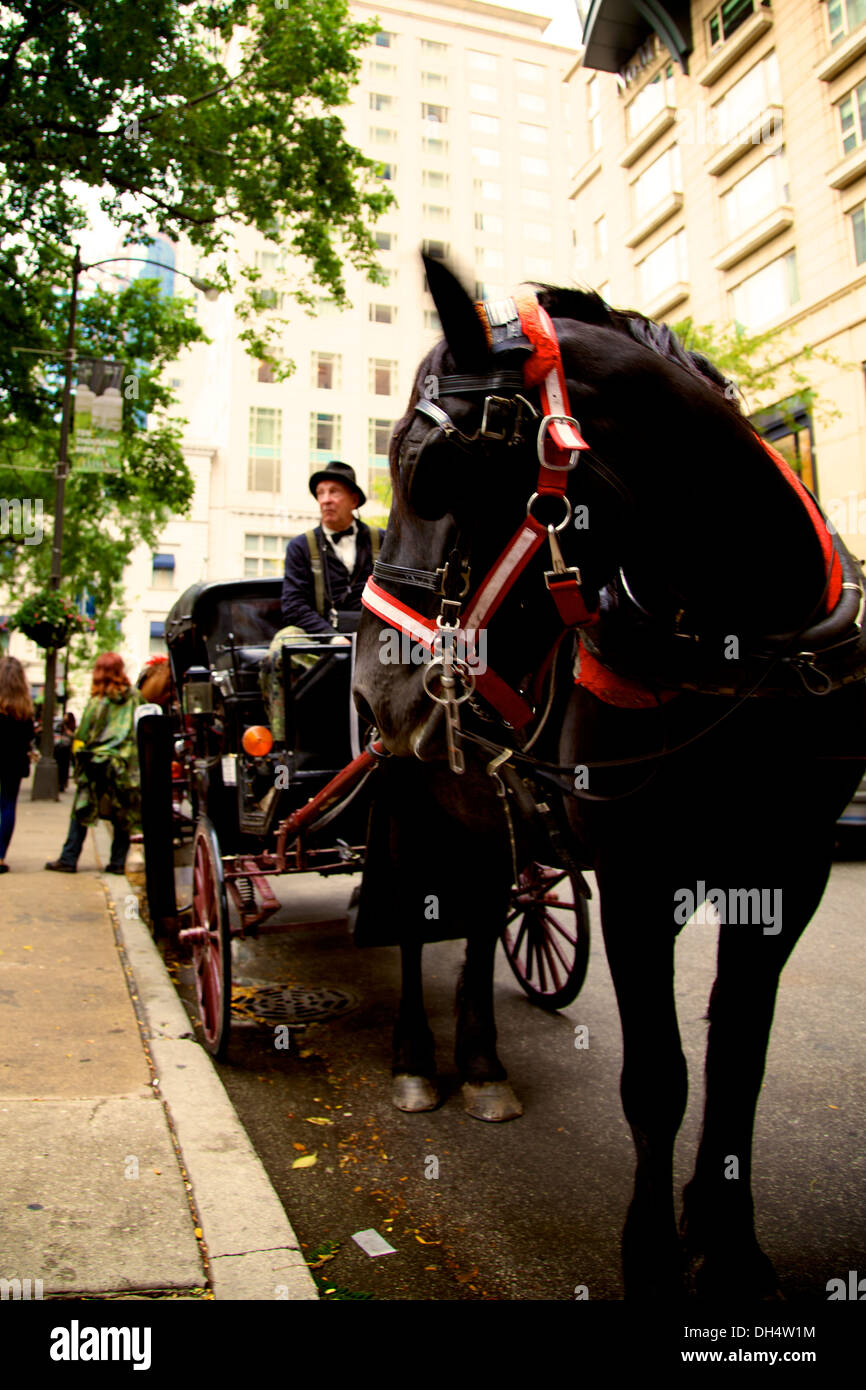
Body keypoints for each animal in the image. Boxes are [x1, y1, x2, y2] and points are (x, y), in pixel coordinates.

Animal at [352, 257, 866, 1298]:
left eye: (426, 468)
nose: (375, 686)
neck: (752, 648)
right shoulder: (640, 875)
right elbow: (659, 1078)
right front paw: (655, 1257)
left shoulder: (792, 869)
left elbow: (739, 1053)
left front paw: (729, 1242)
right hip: (414, 807)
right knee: (421, 927)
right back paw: (420, 1061)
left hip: (486, 815)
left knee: (482, 923)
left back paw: (482, 1065)